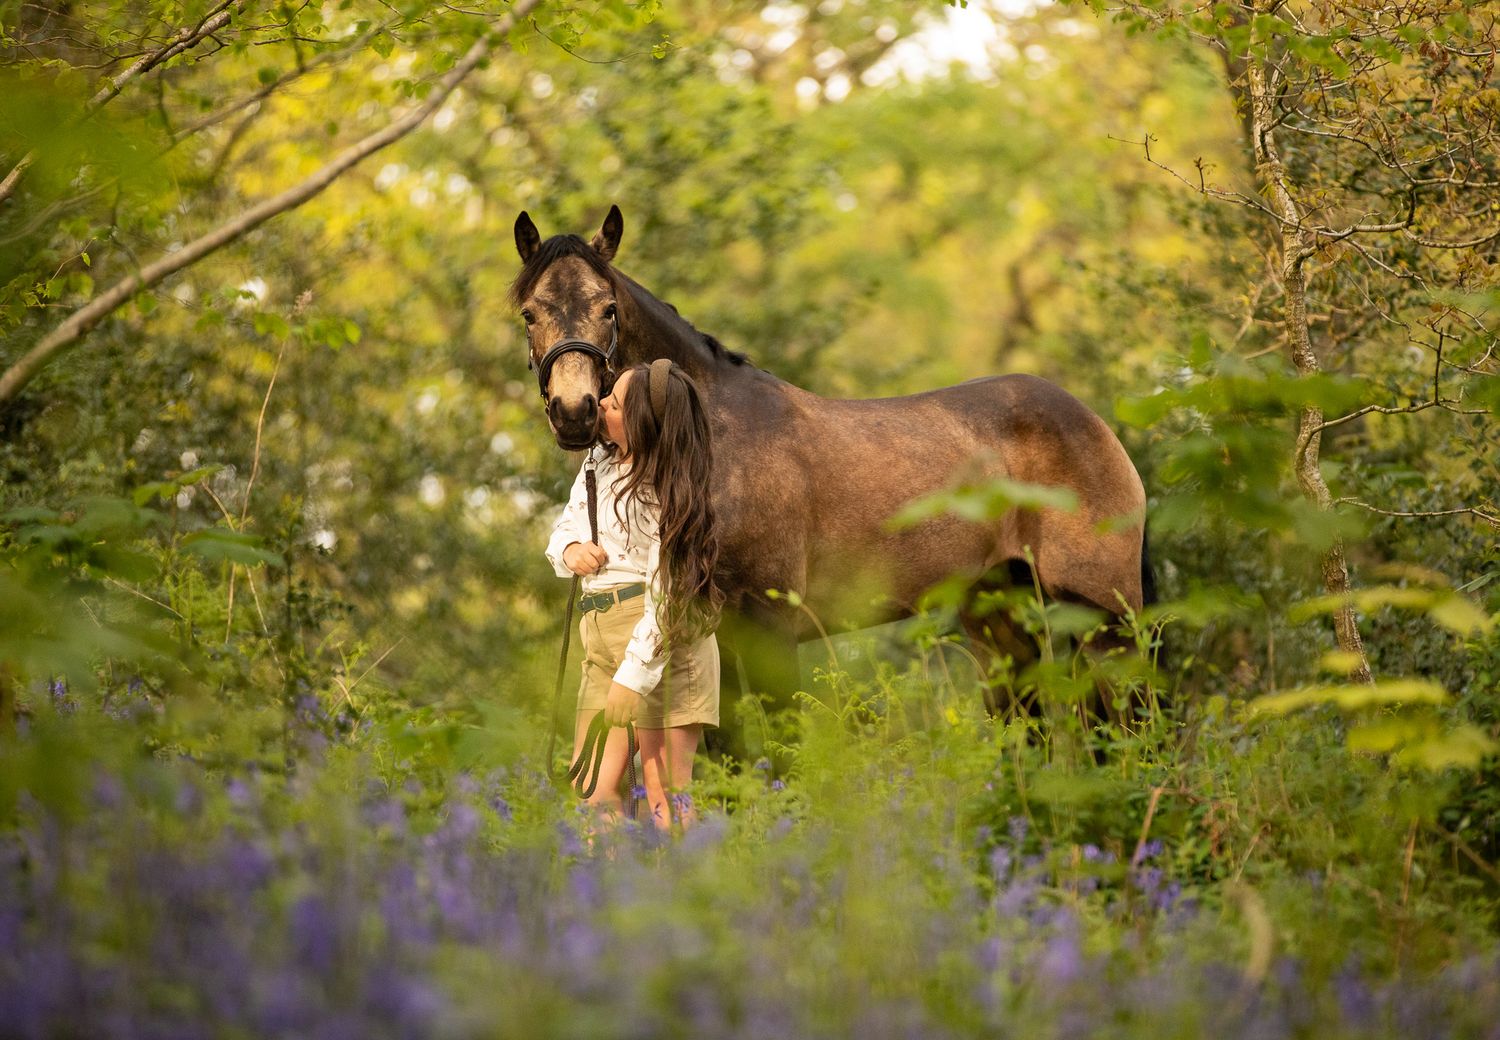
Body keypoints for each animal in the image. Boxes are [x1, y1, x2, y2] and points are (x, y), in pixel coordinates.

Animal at [513, 206, 1149, 757]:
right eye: (530, 313)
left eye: (608, 308)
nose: (575, 412)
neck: (712, 440)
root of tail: (1094, 424)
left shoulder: (769, 626)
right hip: (999, 615)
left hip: (1104, 618)